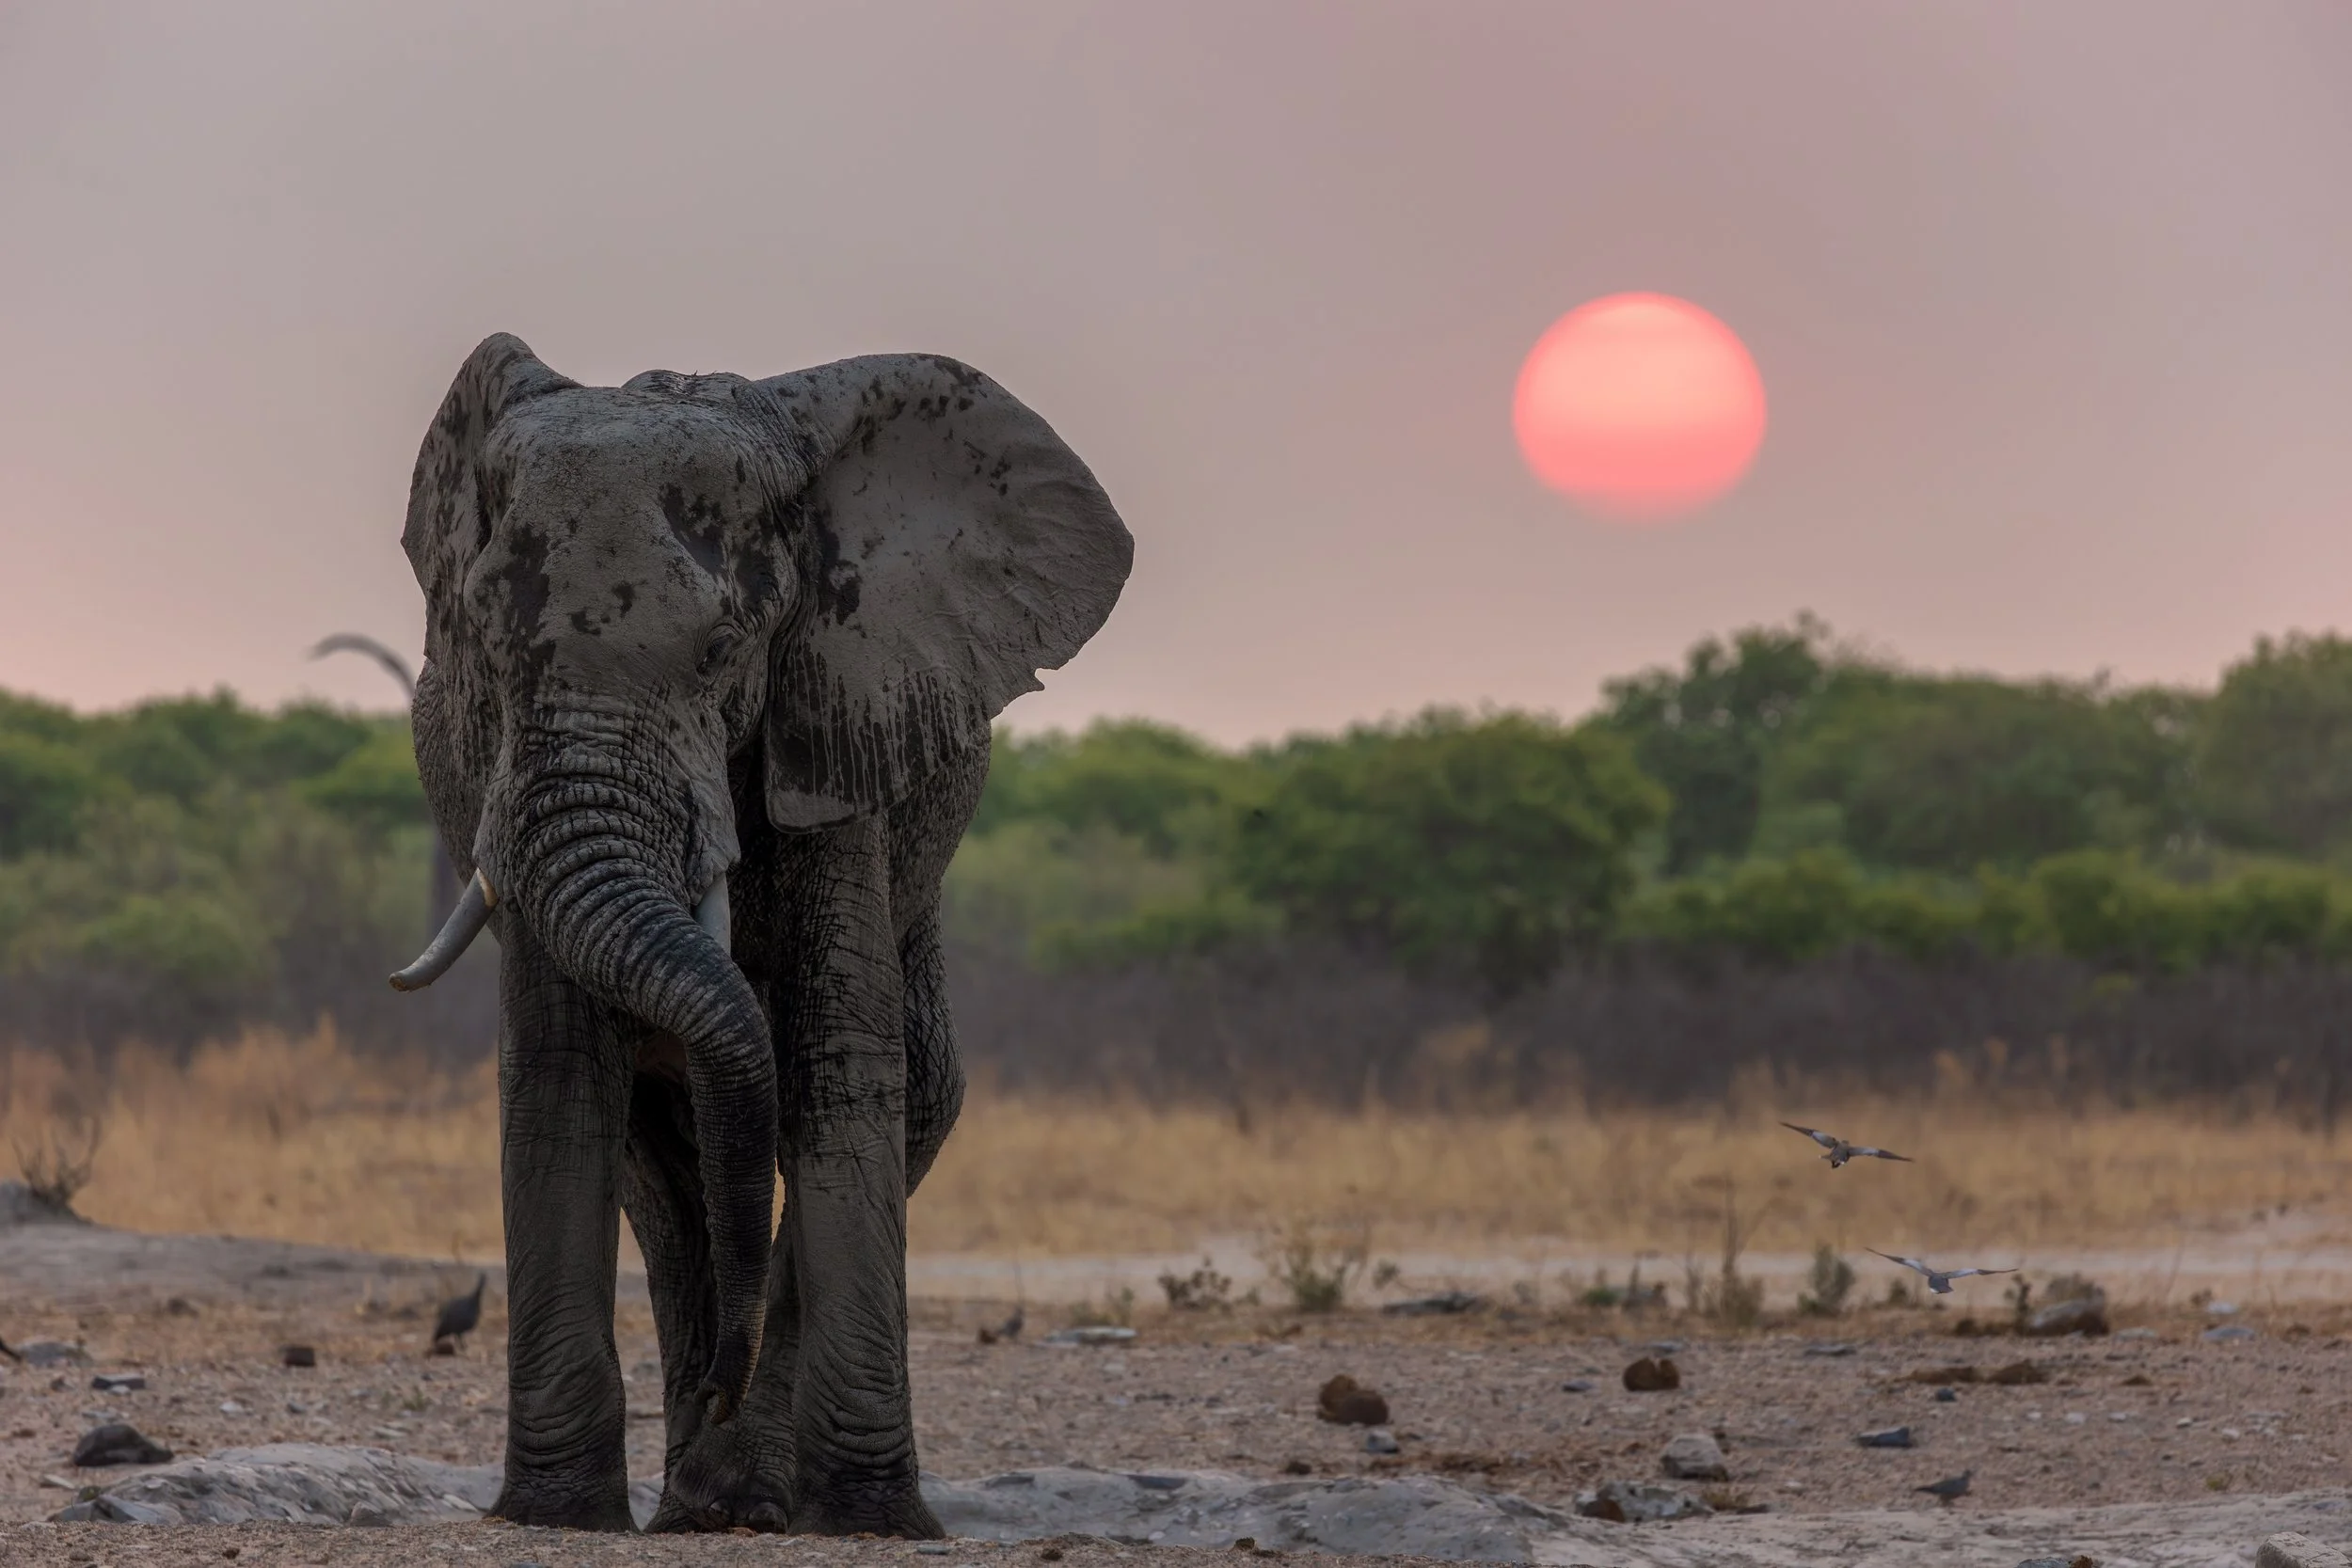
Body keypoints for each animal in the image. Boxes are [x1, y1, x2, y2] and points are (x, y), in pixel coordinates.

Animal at [386, 333, 1131, 1534]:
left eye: (725, 649)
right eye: (487, 650)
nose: (714, 1385)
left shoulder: (842, 703)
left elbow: (837, 1062)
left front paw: (873, 1519)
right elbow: (560, 1074)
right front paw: (555, 1510)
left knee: (913, 1091)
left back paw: (729, 1487)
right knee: (658, 1154)